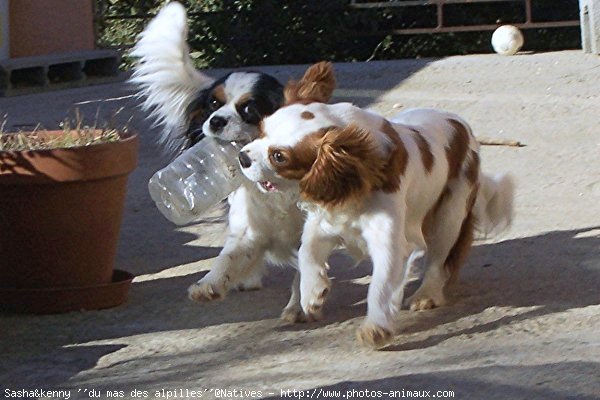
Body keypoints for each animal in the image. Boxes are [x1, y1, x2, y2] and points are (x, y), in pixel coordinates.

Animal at [237, 91, 512, 346]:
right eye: (261, 130)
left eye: (279, 156)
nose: (242, 157)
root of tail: (461, 126)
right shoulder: (321, 224)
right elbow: (307, 252)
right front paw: (312, 292)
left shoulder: (389, 243)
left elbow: (380, 286)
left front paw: (376, 329)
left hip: (449, 217)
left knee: (438, 260)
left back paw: (427, 294)